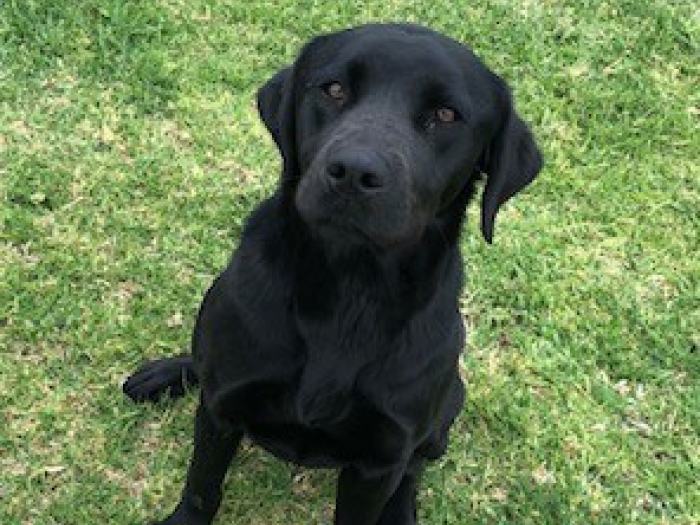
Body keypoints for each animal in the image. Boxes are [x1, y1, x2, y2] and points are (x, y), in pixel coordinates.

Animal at [124, 22, 540, 520]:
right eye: (335, 89)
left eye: (445, 114)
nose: (355, 172)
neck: (349, 287)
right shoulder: (221, 408)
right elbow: (202, 486)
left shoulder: (379, 459)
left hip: (444, 414)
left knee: (415, 469)